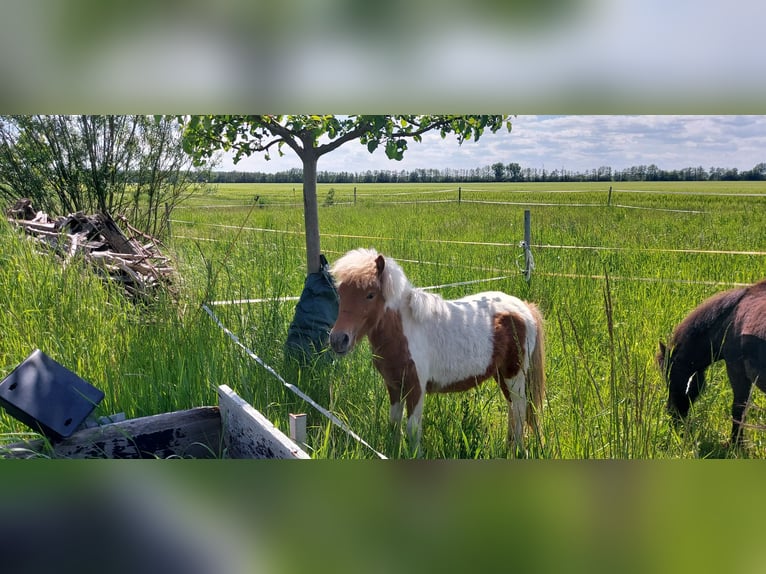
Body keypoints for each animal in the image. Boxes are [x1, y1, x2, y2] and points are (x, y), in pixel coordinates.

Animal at [328, 248, 546, 455]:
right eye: (340, 293)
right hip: (501, 375)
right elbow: (394, 423)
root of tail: (524, 308)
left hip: (515, 375)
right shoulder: (394, 385)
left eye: (370, 294)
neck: (404, 330)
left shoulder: (416, 387)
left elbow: (412, 428)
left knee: (519, 409)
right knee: (513, 408)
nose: (338, 340)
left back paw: (518, 450)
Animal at [657, 279, 766, 446]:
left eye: (669, 377)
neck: (731, 318)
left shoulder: (737, 371)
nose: (672, 415)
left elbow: (739, 409)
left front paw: (735, 444)